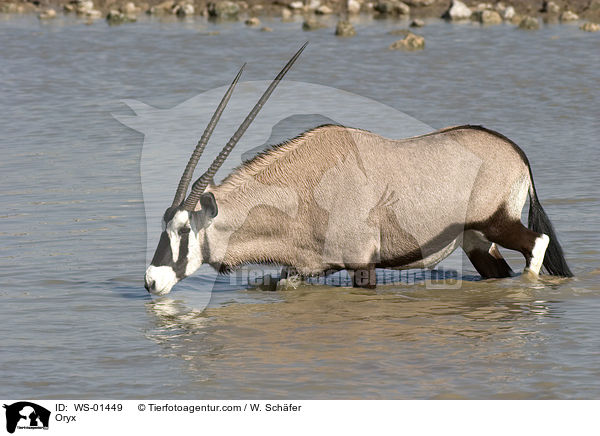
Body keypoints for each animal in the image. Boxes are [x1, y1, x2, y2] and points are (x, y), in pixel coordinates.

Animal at [143, 43, 576, 296]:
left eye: (184, 230)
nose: (150, 281)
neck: (304, 186)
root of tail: (515, 152)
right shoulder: (304, 268)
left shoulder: (362, 265)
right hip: (476, 242)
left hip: (497, 222)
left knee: (537, 243)